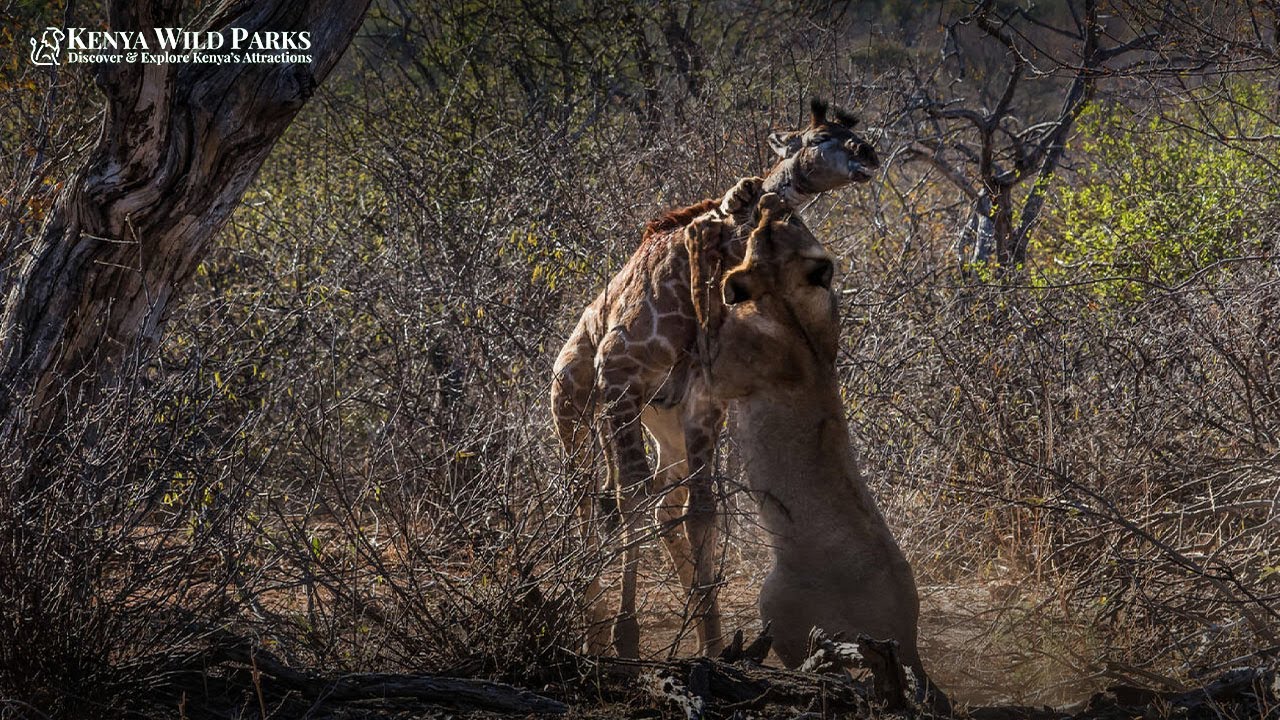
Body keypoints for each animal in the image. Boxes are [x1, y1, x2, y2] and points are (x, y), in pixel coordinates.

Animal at [550, 100, 879, 658]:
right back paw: (591, 623)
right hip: (574, 411)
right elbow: (630, 499)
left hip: (665, 429)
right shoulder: (620, 377)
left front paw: (711, 638)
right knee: (587, 500)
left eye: (849, 132)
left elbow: (701, 511)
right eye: (818, 137)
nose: (869, 154)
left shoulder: (702, 404)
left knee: (664, 505)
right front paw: (626, 637)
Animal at [694, 196, 950, 712]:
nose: (772, 201)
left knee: (819, 664)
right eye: (788, 220)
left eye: (774, 228)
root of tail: (906, 637)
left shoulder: (724, 366)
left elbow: (708, 313)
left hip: (777, 602)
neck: (789, 304)